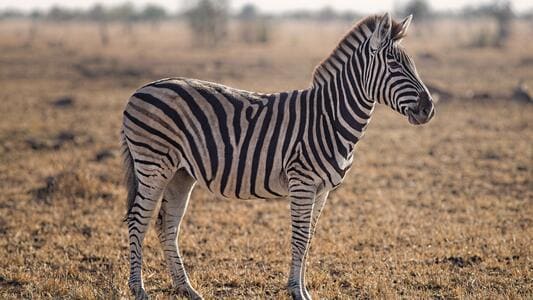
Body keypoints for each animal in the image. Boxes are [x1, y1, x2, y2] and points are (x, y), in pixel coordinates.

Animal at [121, 12, 436, 298]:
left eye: (412, 64)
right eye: (394, 64)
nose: (429, 109)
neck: (329, 117)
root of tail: (139, 90)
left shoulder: (323, 190)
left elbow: (309, 238)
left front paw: (301, 288)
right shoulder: (302, 181)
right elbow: (299, 238)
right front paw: (297, 291)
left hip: (180, 173)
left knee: (166, 224)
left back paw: (185, 288)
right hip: (153, 164)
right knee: (138, 220)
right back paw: (139, 289)